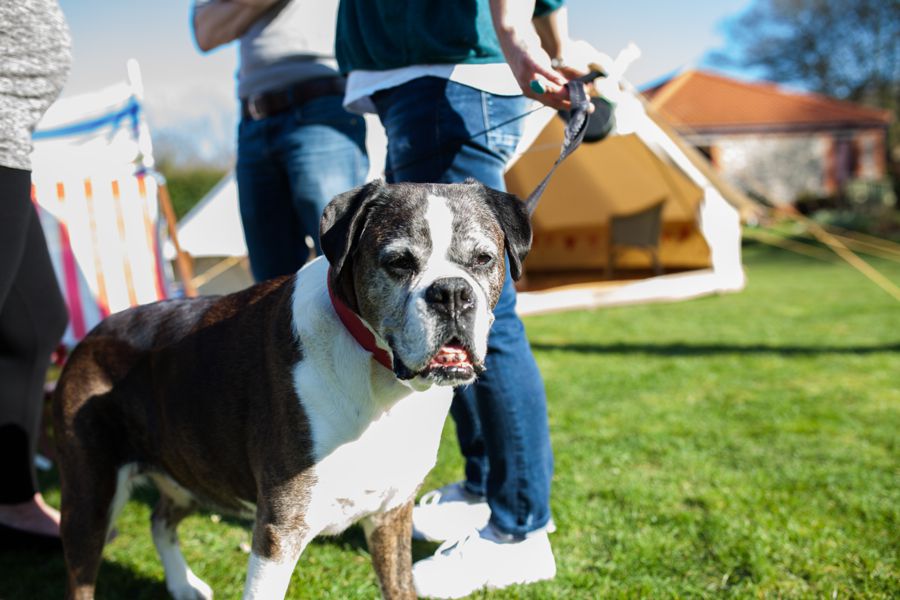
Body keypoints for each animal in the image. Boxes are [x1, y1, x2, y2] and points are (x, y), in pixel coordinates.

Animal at [52, 179, 532, 600]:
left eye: (483, 259)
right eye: (398, 262)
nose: (450, 292)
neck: (378, 377)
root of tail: (90, 337)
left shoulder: (390, 515)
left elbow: (398, 586)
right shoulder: (279, 531)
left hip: (190, 465)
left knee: (160, 518)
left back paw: (183, 584)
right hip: (90, 497)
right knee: (82, 572)